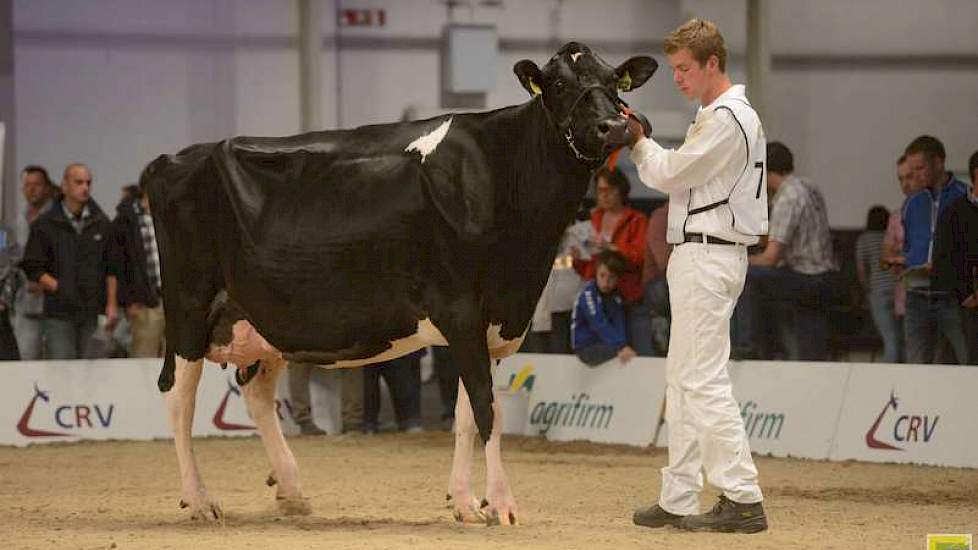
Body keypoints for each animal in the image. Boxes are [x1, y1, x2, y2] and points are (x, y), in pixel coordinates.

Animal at [143, 42, 656, 528]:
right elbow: (488, 409)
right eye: (560, 84)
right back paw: (200, 500)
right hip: (188, 305)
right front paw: (502, 505)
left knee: (257, 395)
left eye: (615, 82)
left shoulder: (490, 324)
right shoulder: (460, 309)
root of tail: (172, 159)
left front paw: (465, 503)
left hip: (260, 317)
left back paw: (290, 490)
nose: (614, 126)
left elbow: (465, 417)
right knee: (177, 396)